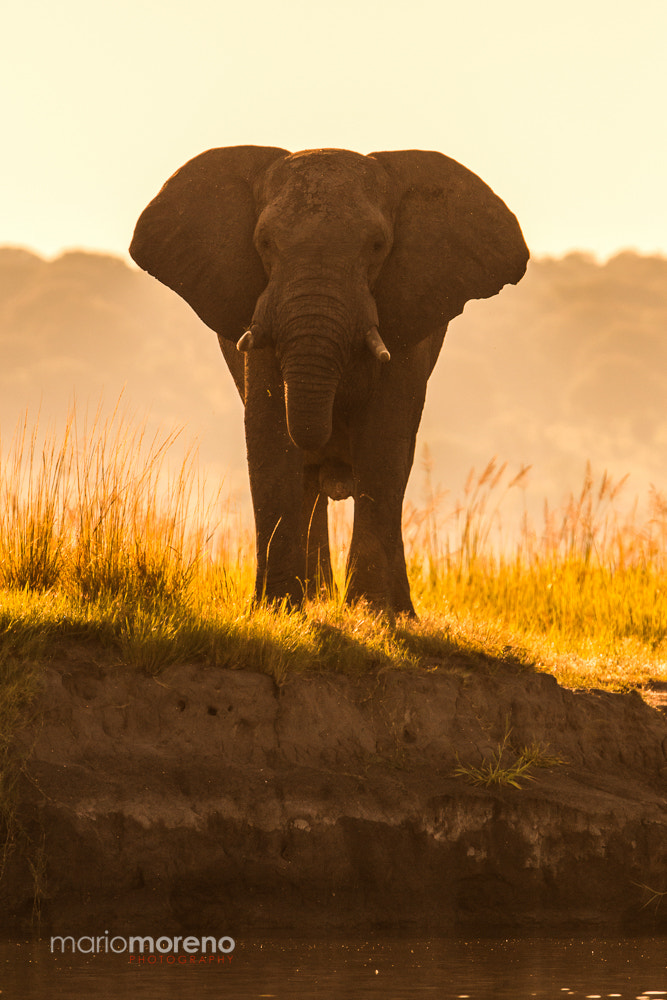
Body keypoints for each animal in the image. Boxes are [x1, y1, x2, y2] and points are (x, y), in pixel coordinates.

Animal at [129, 145, 528, 612]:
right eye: (264, 243)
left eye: (377, 245)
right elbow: (268, 430)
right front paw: (277, 609)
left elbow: (385, 439)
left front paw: (373, 612)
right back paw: (316, 597)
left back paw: (393, 610)